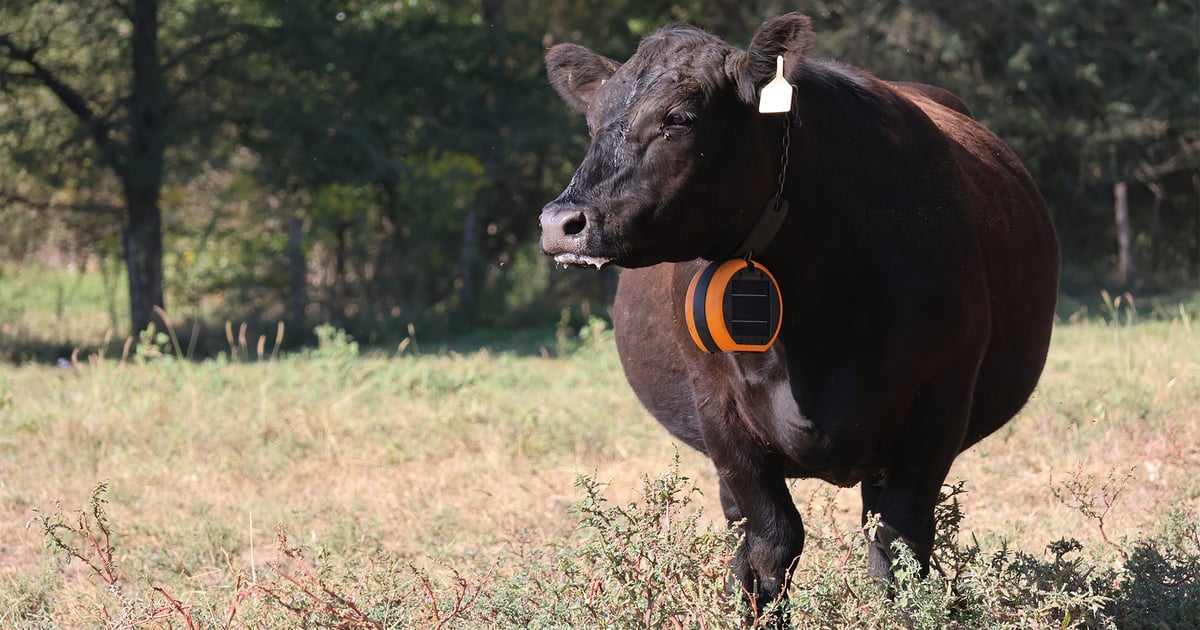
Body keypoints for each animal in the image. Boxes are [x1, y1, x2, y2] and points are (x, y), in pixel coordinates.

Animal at [538, 12, 1060, 621]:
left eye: (679, 118)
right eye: (593, 121)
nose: (560, 223)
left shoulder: (942, 398)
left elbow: (900, 548)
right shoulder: (718, 408)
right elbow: (771, 544)